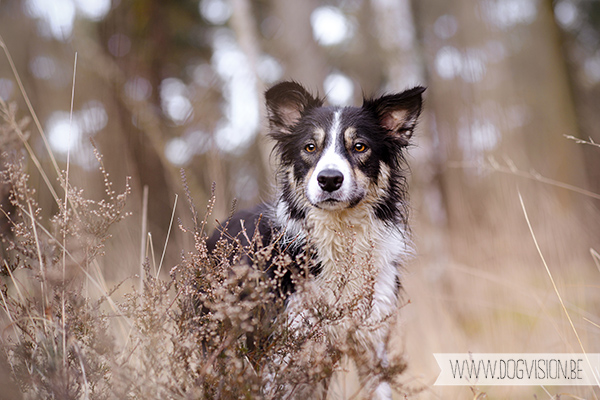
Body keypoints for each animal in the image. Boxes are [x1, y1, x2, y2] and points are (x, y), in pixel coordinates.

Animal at [209, 81, 424, 400]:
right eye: (310, 147)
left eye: (359, 146)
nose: (330, 179)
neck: (341, 234)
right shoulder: (280, 349)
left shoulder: (372, 345)